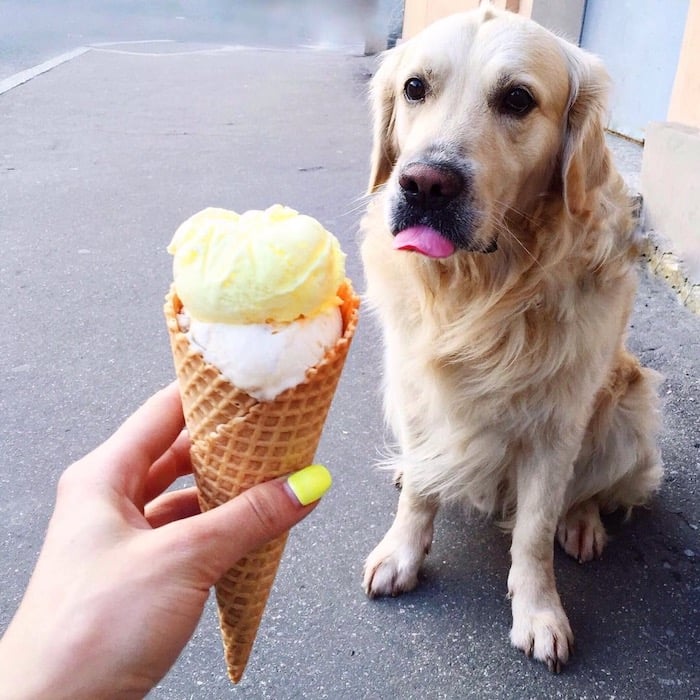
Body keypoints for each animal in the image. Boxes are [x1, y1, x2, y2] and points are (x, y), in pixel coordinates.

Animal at [360, 5, 660, 672]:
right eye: (414, 87)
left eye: (518, 99)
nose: (424, 184)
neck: (479, 293)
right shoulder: (418, 390)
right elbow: (421, 494)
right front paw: (401, 552)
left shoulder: (557, 423)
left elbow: (533, 532)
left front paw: (539, 612)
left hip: (628, 414)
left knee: (589, 491)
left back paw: (583, 524)